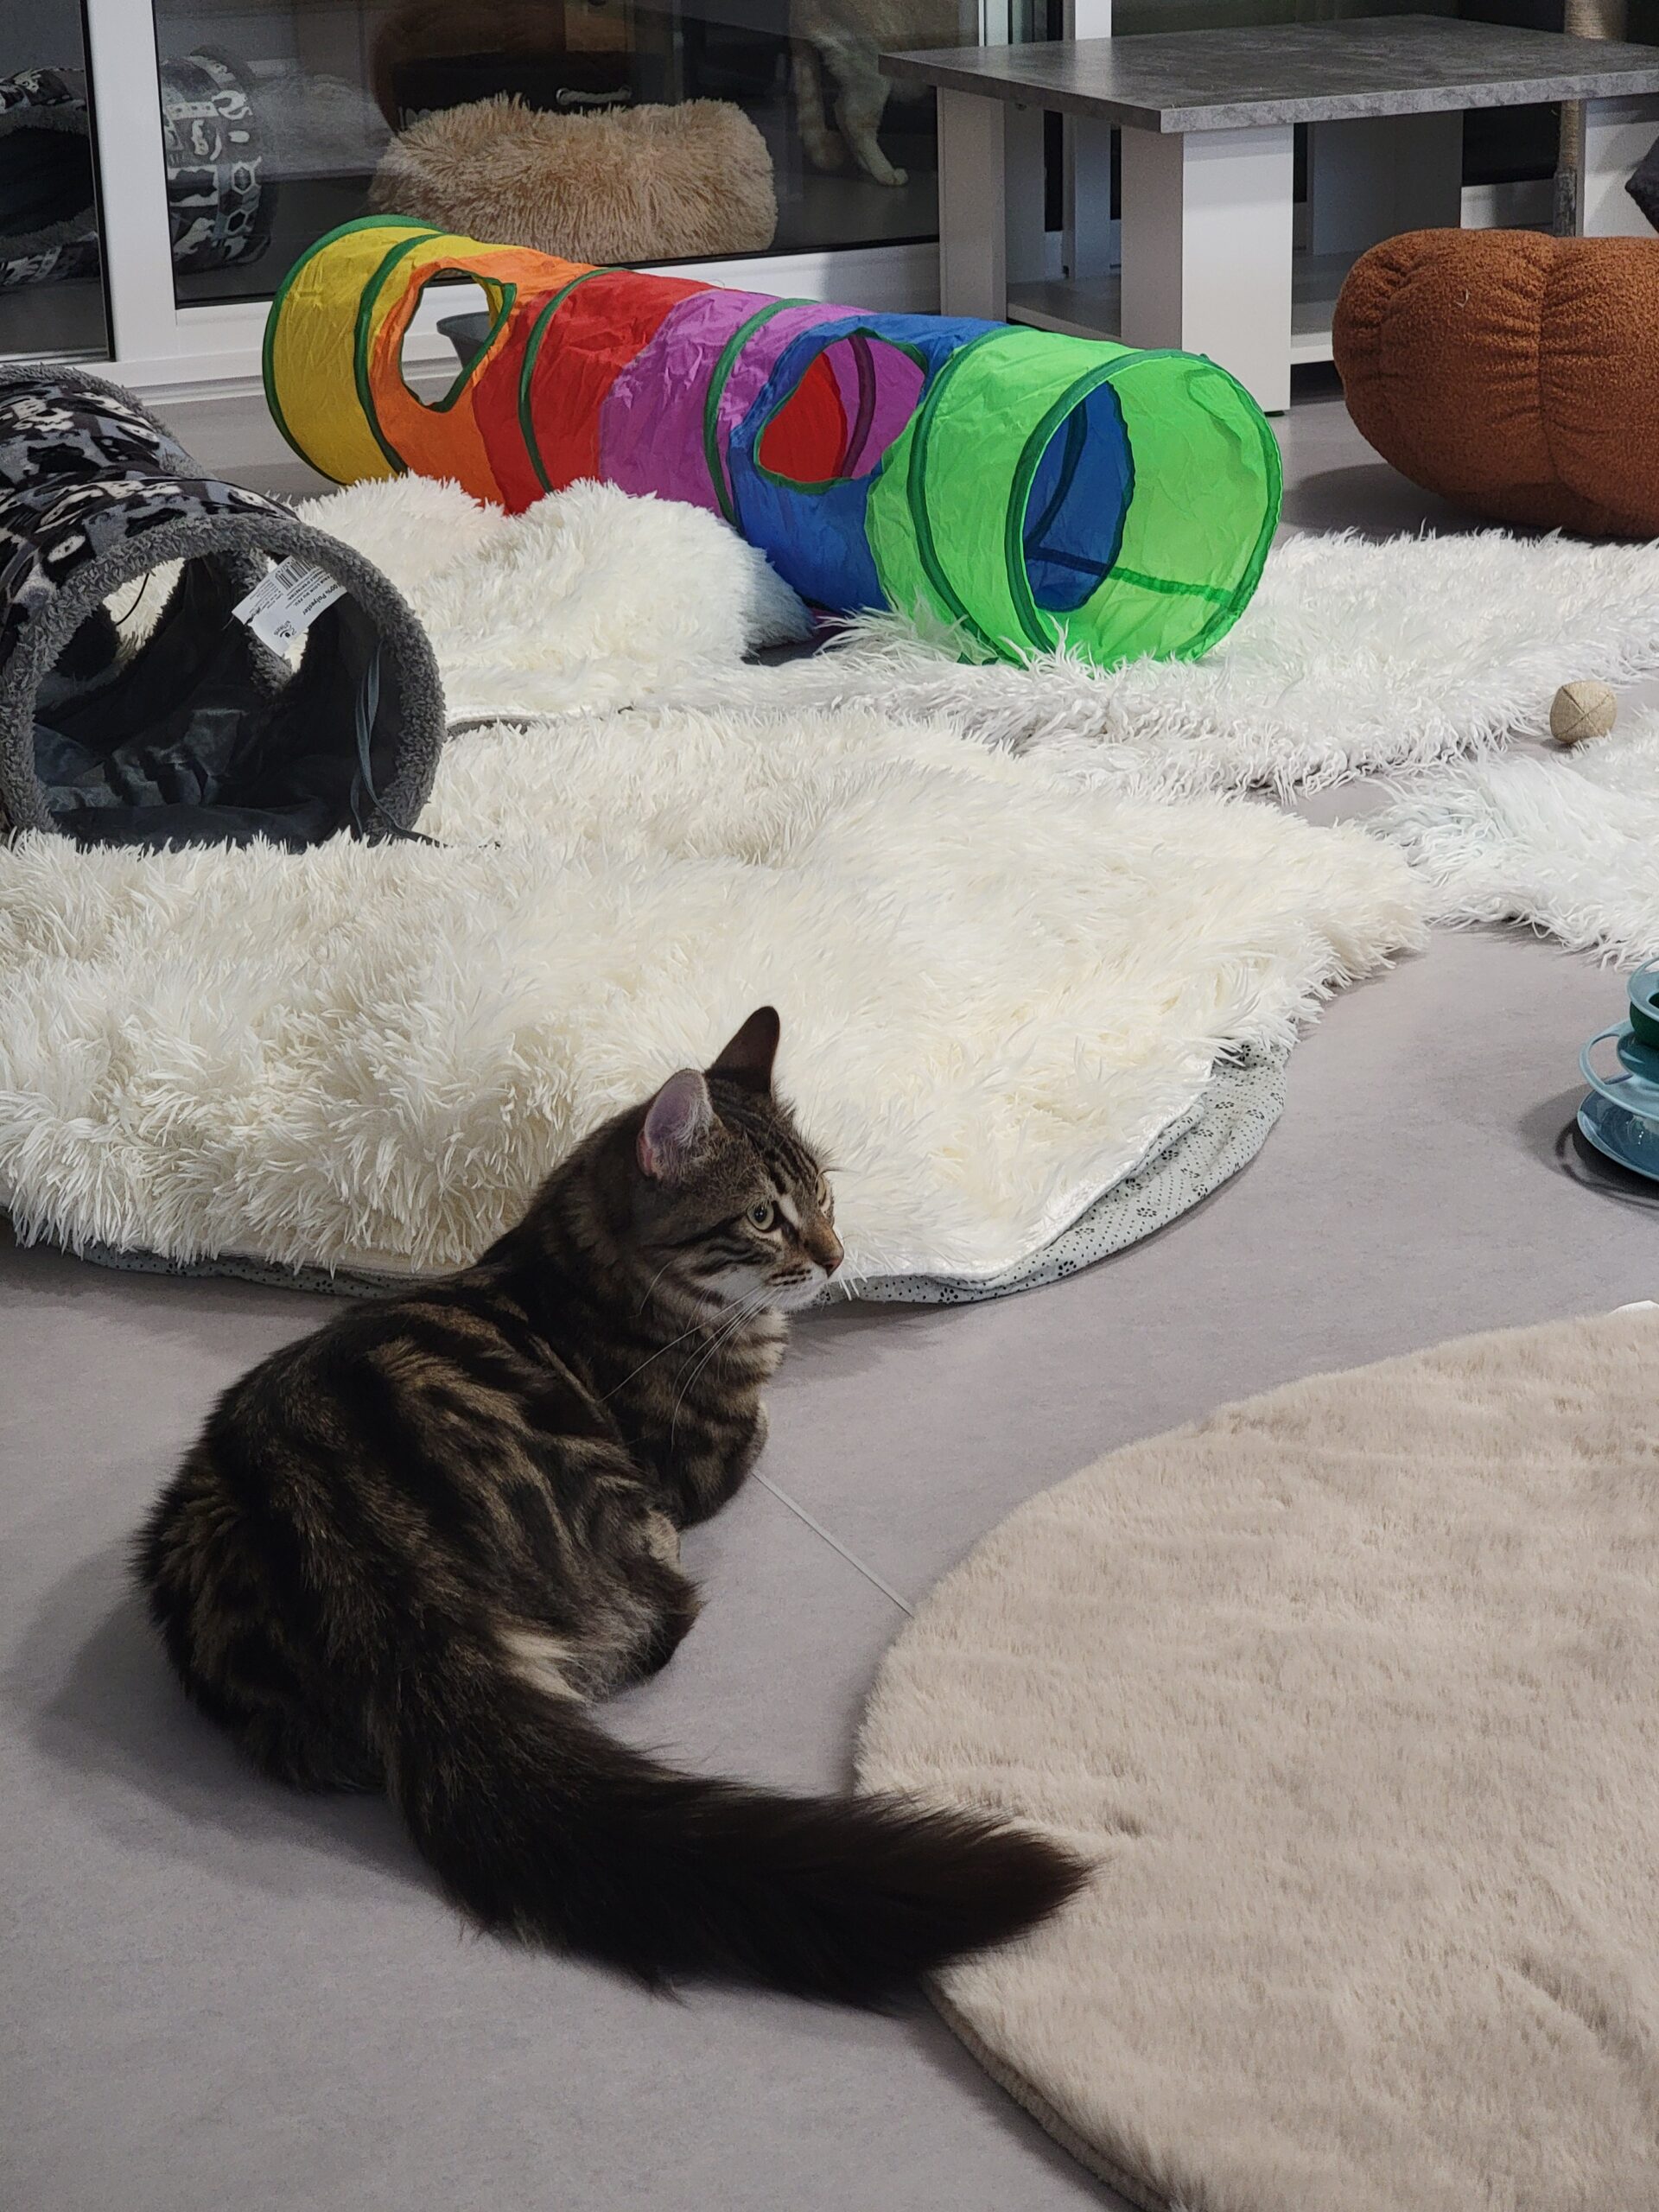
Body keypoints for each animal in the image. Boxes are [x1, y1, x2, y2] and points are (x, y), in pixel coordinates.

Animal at [136, 1007, 1082, 2001]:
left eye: (825, 1196)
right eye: (763, 1217)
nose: (834, 1258)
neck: (573, 1264)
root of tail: (374, 1581)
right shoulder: (705, 1459)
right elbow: (761, 1424)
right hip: (615, 1517)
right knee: (655, 1625)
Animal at [790, 0, 963, 187]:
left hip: (855, 72)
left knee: (841, 109)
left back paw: (866, 165)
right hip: (871, 64)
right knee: (858, 122)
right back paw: (884, 172)